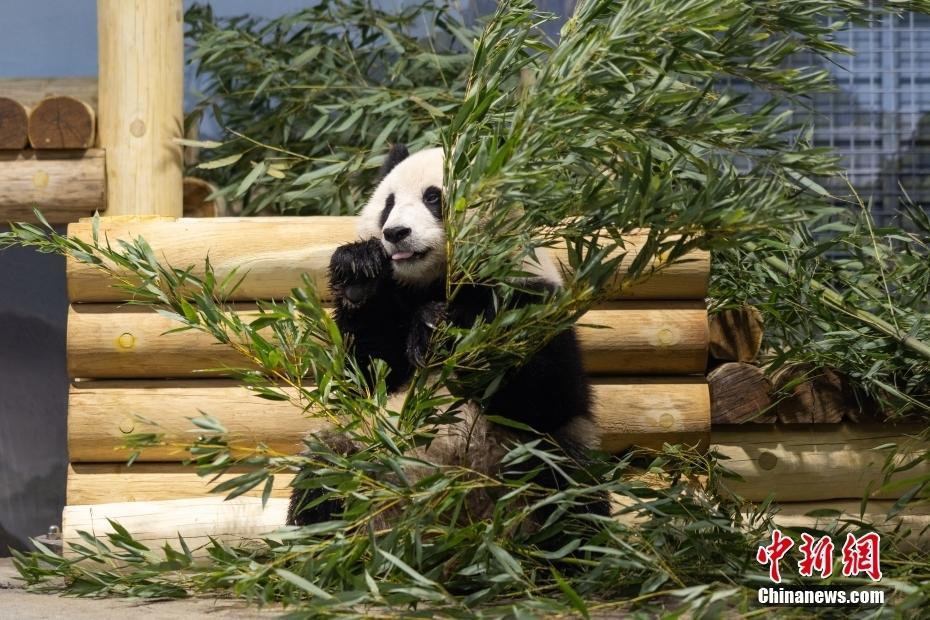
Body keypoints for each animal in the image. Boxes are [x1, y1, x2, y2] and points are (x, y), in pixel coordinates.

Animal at [284, 145, 600, 528]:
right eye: (388, 203)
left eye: (433, 197)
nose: (395, 233)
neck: (437, 279)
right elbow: (363, 375)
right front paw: (359, 269)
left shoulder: (533, 297)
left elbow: (547, 392)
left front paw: (440, 328)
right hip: (359, 450)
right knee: (324, 476)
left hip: (536, 461)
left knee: (569, 498)